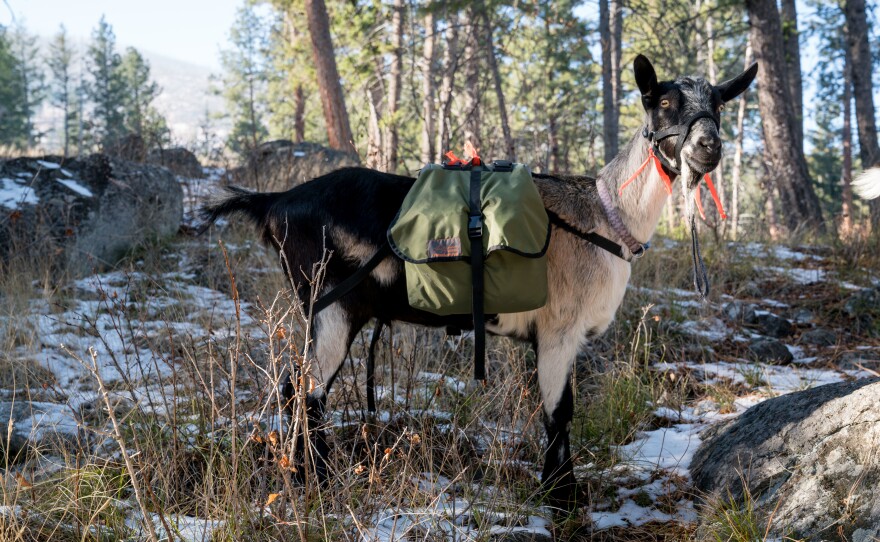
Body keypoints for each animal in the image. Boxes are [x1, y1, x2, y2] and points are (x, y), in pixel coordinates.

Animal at [201, 55, 757, 509]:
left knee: (299, 390)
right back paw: (313, 480)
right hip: (331, 305)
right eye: (663, 101)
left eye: (719, 105)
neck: (605, 215)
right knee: (303, 391)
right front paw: (563, 498)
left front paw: (558, 490)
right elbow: (560, 412)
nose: (709, 146)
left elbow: (558, 412)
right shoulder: (559, 330)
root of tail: (274, 201)